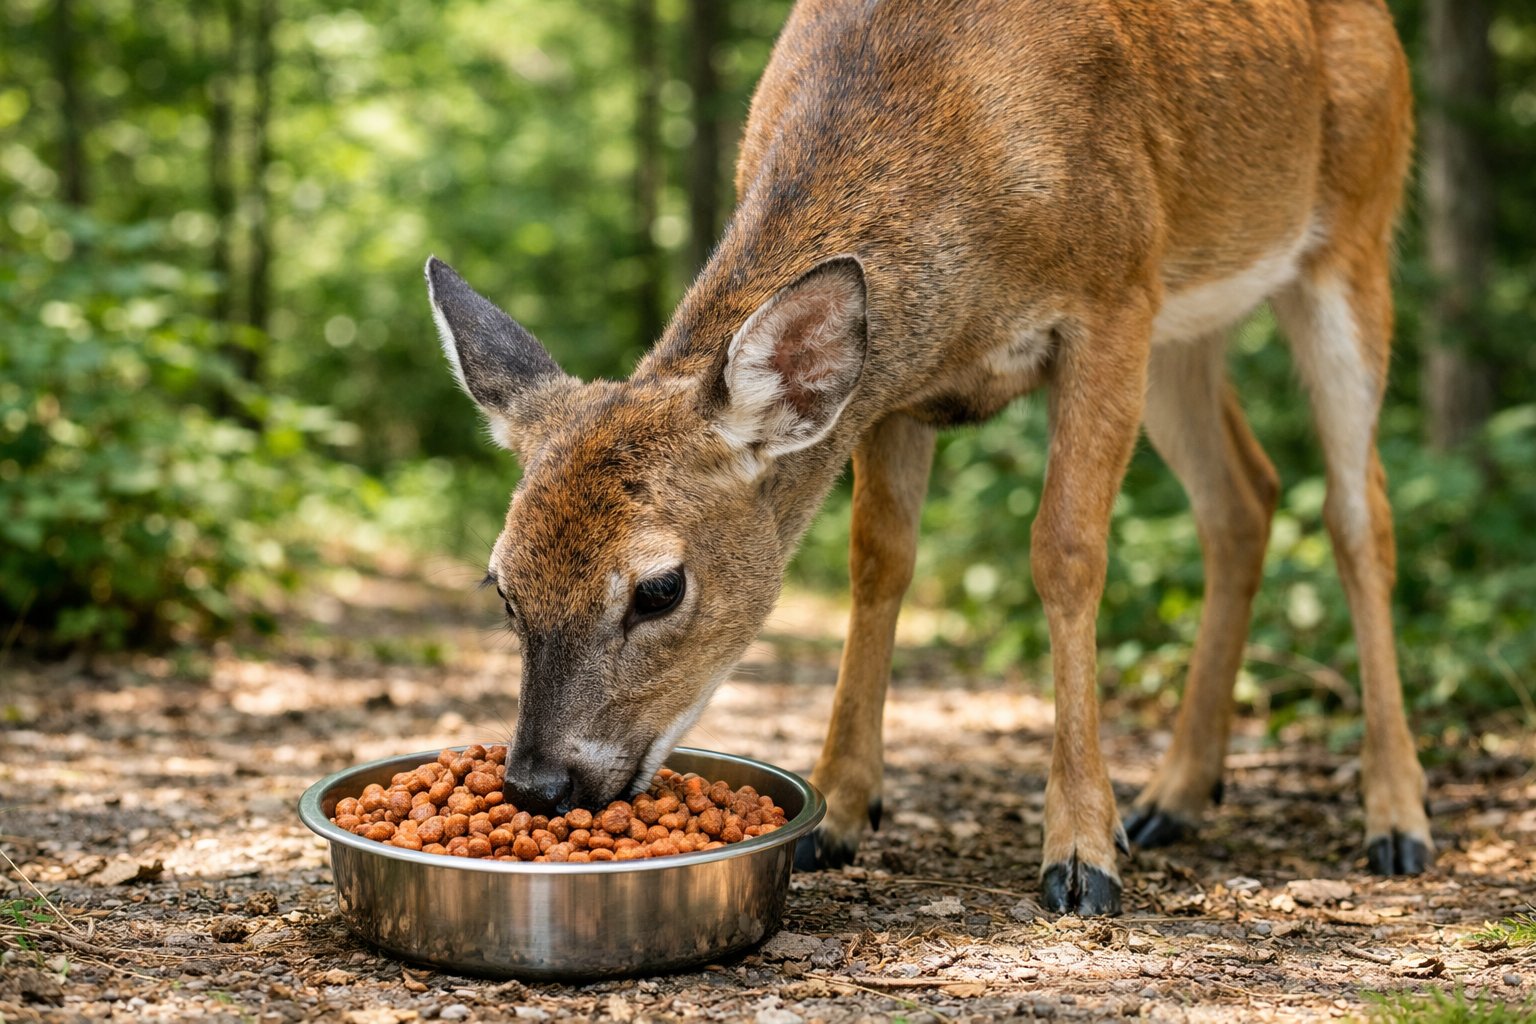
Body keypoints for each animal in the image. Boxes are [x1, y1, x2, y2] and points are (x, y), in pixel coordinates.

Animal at [424, 0, 1429, 915]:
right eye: (502, 587)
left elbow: (1067, 552)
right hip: (1191, 324)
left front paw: (1080, 852)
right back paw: (1173, 796)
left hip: (1355, 229)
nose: (537, 785)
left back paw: (1396, 819)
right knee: (1245, 496)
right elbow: (880, 561)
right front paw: (837, 812)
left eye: (660, 589)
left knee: (1359, 512)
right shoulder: (893, 389)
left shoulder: (1114, 295)